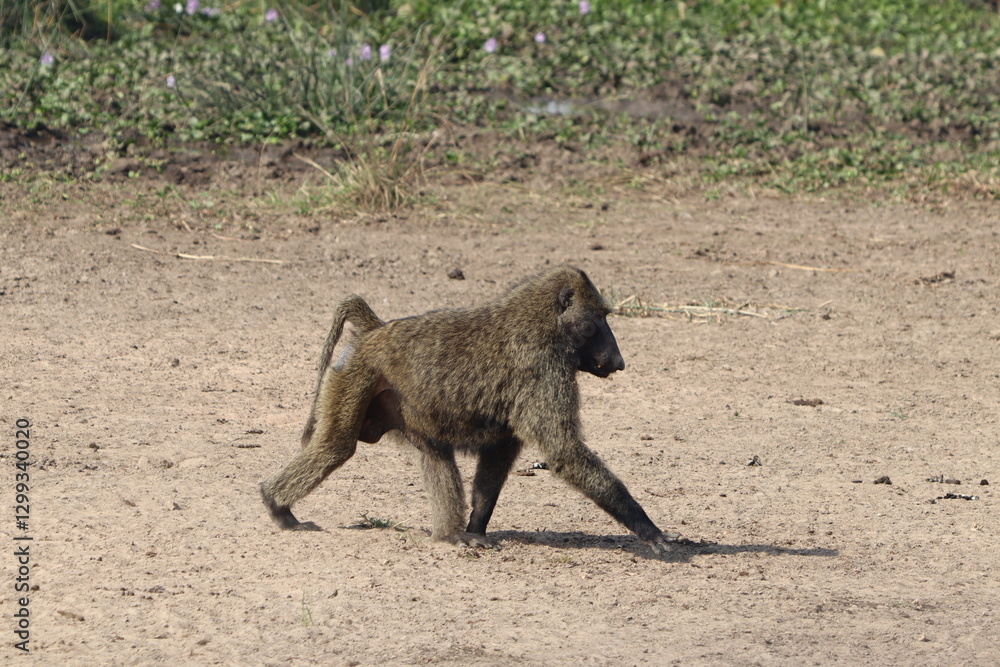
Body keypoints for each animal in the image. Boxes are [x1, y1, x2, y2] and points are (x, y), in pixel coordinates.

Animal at [260, 265, 680, 554]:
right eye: (601, 319)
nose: (619, 362)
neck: (544, 320)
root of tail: (376, 331)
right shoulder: (542, 367)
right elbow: (563, 451)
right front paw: (649, 529)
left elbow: (496, 460)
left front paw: (477, 529)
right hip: (355, 377)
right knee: (336, 447)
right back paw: (276, 505)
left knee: (434, 456)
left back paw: (450, 535)